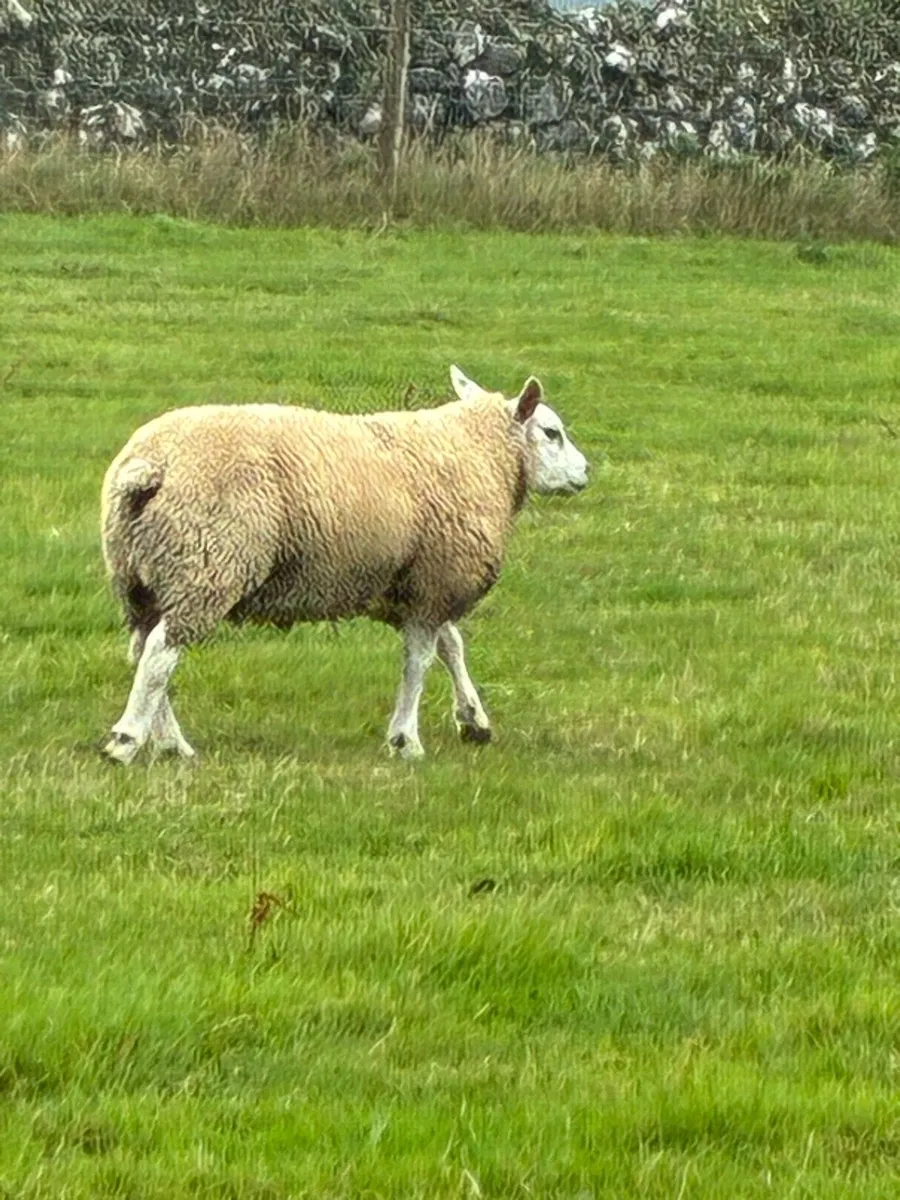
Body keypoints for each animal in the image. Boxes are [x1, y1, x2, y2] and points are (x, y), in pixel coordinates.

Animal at [99, 365, 589, 764]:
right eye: (552, 432)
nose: (585, 473)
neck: (480, 453)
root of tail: (149, 465)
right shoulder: (437, 578)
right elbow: (419, 661)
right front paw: (405, 740)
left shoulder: (421, 582)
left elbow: (452, 646)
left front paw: (473, 720)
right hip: (206, 565)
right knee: (160, 655)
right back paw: (127, 741)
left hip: (144, 576)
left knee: (145, 649)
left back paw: (170, 744)